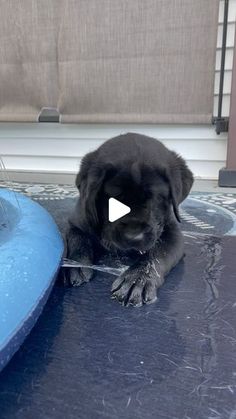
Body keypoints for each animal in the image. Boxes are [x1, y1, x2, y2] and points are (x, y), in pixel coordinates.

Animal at [66, 133, 194, 306]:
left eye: (155, 198)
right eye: (113, 200)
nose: (133, 236)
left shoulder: (173, 234)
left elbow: (157, 254)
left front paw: (137, 279)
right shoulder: (76, 222)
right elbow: (78, 240)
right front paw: (74, 265)